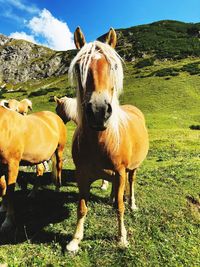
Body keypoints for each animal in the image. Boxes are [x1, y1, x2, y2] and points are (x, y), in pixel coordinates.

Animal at [66, 26, 149, 252]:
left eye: (113, 66)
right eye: (79, 67)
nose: (98, 111)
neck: (100, 142)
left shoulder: (120, 172)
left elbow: (120, 207)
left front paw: (122, 238)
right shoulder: (82, 175)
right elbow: (82, 207)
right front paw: (75, 240)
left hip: (132, 169)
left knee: (131, 184)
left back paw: (132, 203)